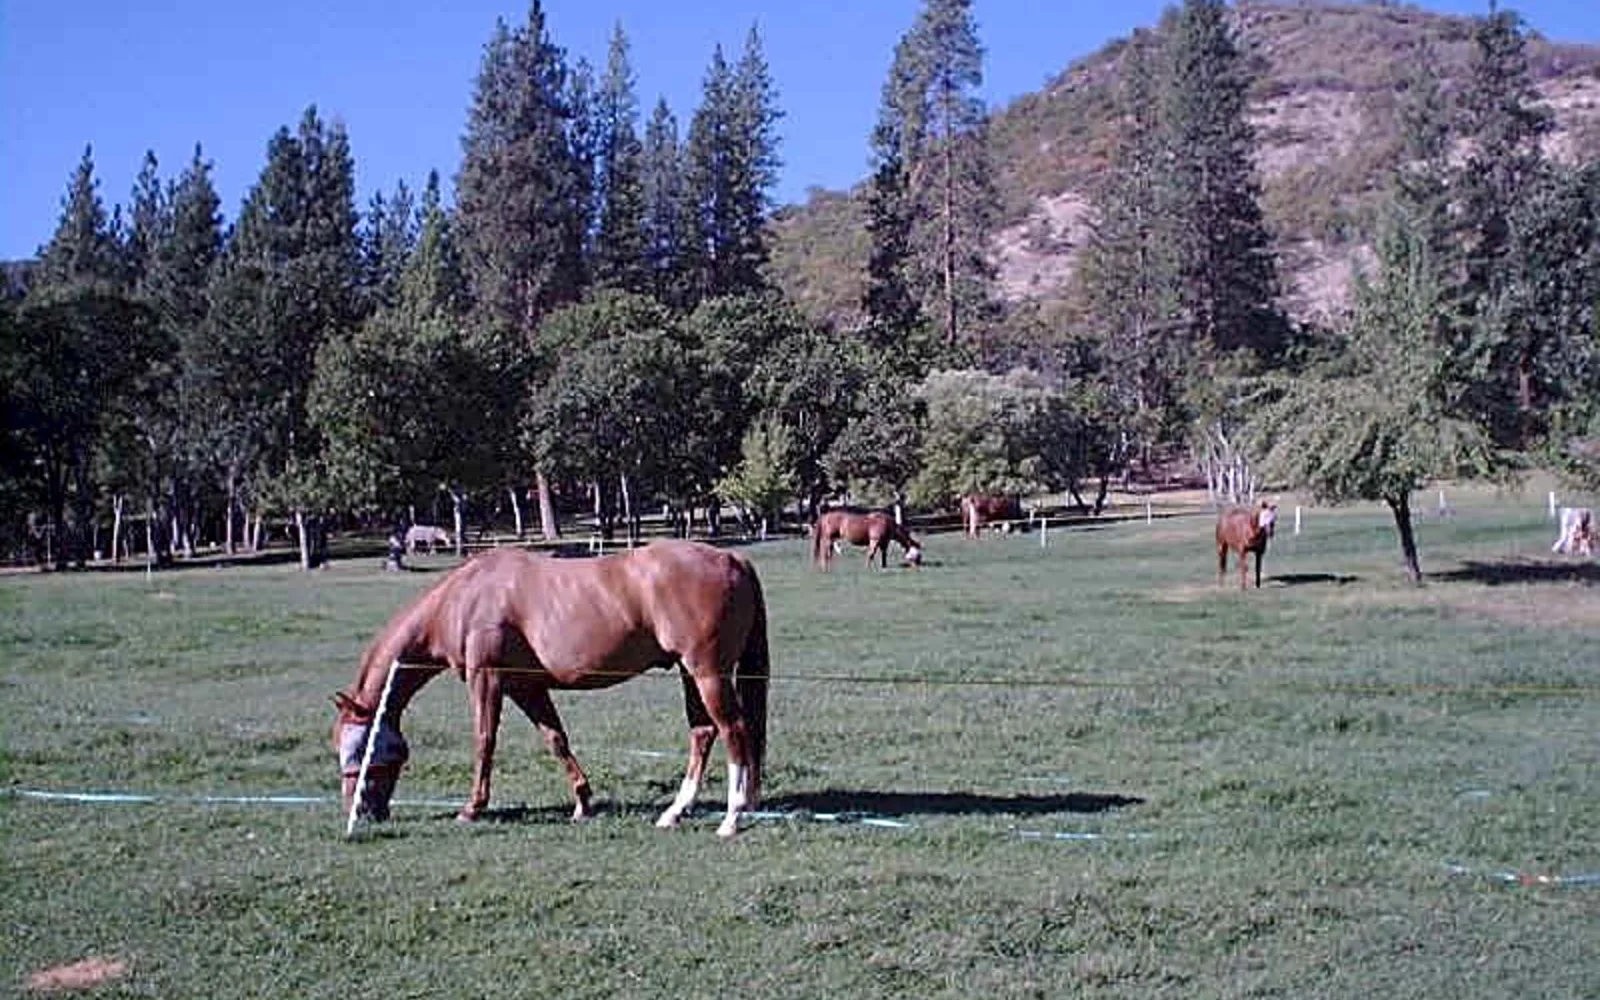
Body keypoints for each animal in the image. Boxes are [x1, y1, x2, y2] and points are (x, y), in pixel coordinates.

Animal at [332, 541, 770, 839]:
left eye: (358, 748)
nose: (358, 810)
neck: (464, 600)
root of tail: (732, 558)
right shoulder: (526, 688)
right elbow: (557, 740)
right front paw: (582, 802)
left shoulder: (486, 680)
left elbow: (484, 741)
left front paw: (472, 808)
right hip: (689, 673)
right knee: (704, 732)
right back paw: (676, 812)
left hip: (707, 673)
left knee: (734, 731)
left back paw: (731, 818)